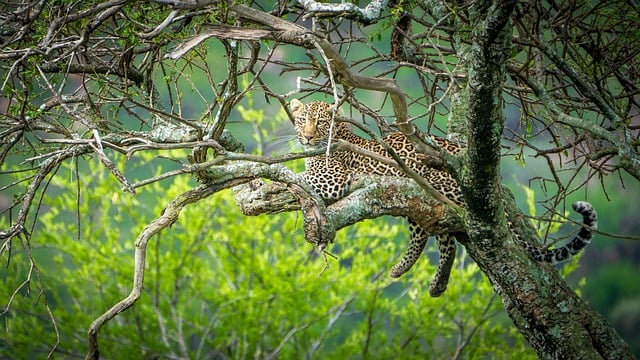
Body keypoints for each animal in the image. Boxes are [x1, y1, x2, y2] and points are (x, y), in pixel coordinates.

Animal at [290, 99, 600, 298]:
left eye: (320, 122)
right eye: (303, 120)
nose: (307, 137)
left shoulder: (331, 179)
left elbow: (296, 177)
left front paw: (281, 181)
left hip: (425, 184)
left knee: (437, 235)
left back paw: (410, 272)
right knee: (439, 237)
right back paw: (427, 279)